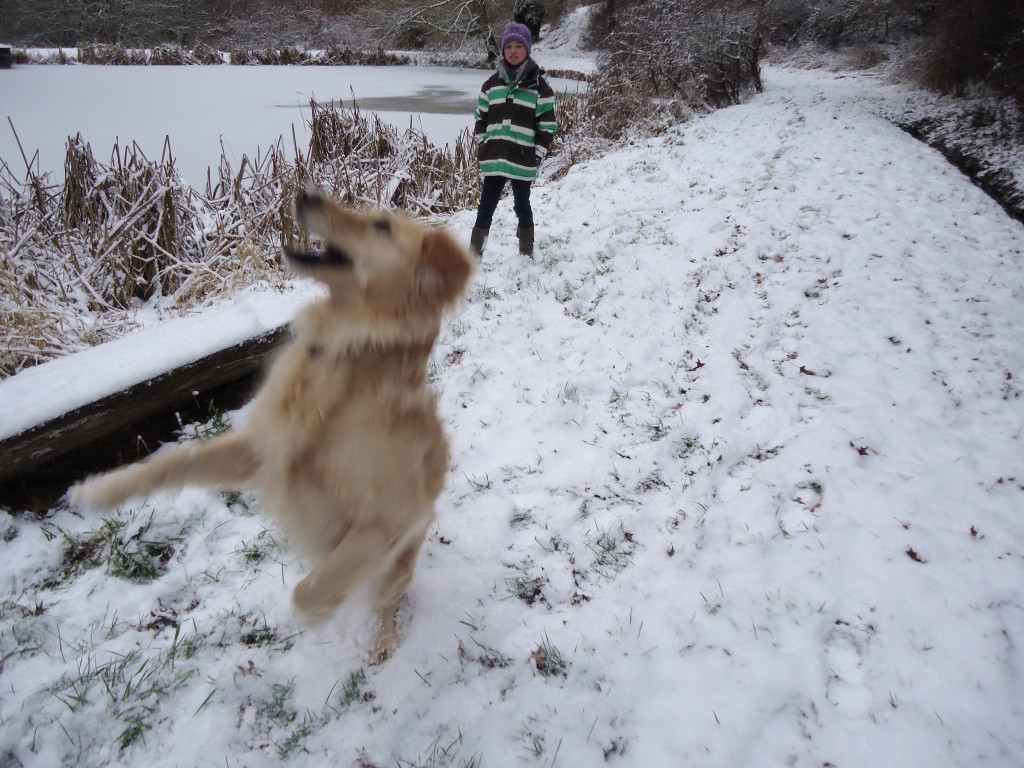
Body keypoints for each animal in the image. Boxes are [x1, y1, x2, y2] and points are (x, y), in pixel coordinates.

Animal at [71, 188, 474, 661]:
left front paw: (319, 614)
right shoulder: (265, 446)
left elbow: (307, 591)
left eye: (381, 226)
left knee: (384, 599)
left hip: (398, 561)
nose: (305, 193)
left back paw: (381, 640)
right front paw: (99, 491)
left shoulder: (390, 519)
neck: (348, 356)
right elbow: (175, 463)